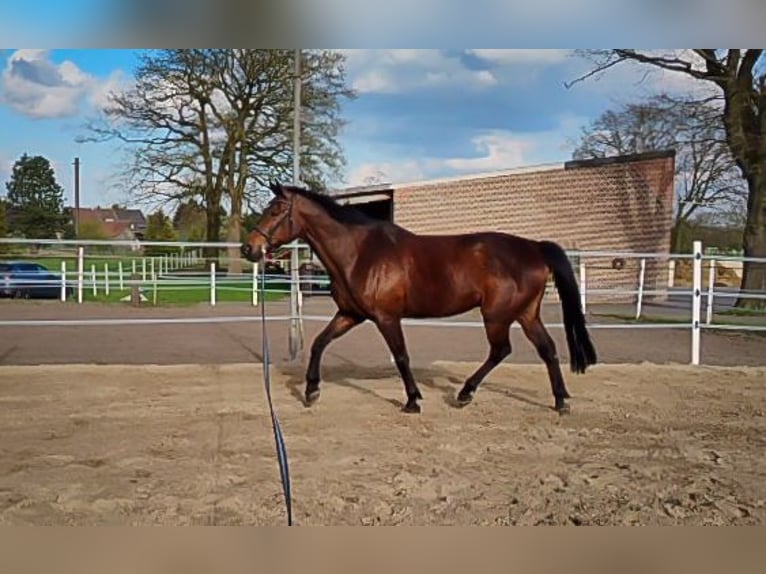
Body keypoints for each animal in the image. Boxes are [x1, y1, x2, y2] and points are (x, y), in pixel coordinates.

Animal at [241, 181, 597, 415]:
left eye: (275, 210)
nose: (249, 248)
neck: (361, 253)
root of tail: (534, 247)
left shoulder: (386, 318)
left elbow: (401, 356)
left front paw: (413, 400)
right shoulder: (350, 314)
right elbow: (319, 343)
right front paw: (311, 391)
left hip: (497, 316)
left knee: (502, 350)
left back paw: (465, 394)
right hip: (526, 314)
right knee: (547, 350)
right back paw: (560, 401)